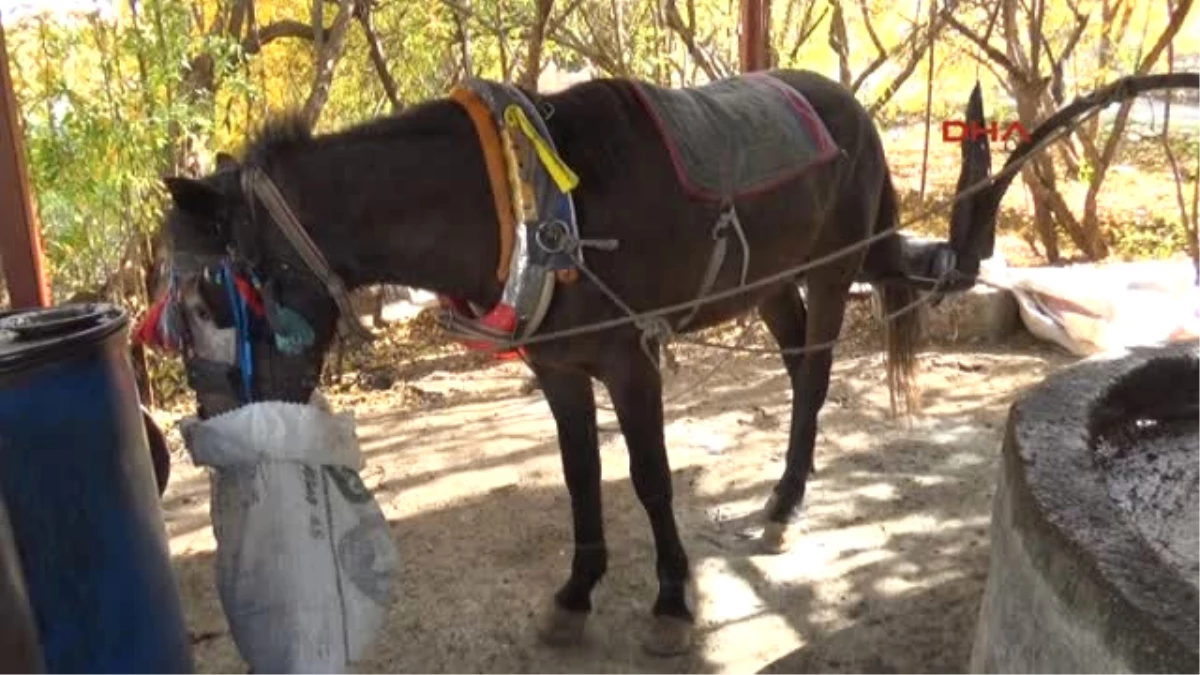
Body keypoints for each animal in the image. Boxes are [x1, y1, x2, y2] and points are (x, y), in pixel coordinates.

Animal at [150, 68, 998, 653]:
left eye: (213, 299)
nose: (224, 444)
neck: (528, 208)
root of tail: (851, 108)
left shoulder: (630, 359)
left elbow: (651, 478)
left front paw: (670, 601)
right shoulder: (559, 370)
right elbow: (581, 474)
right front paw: (577, 592)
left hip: (831, 273)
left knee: (815, 377)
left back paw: (787, 501)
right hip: (770, 285)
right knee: (797, 372)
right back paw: (792, 487)